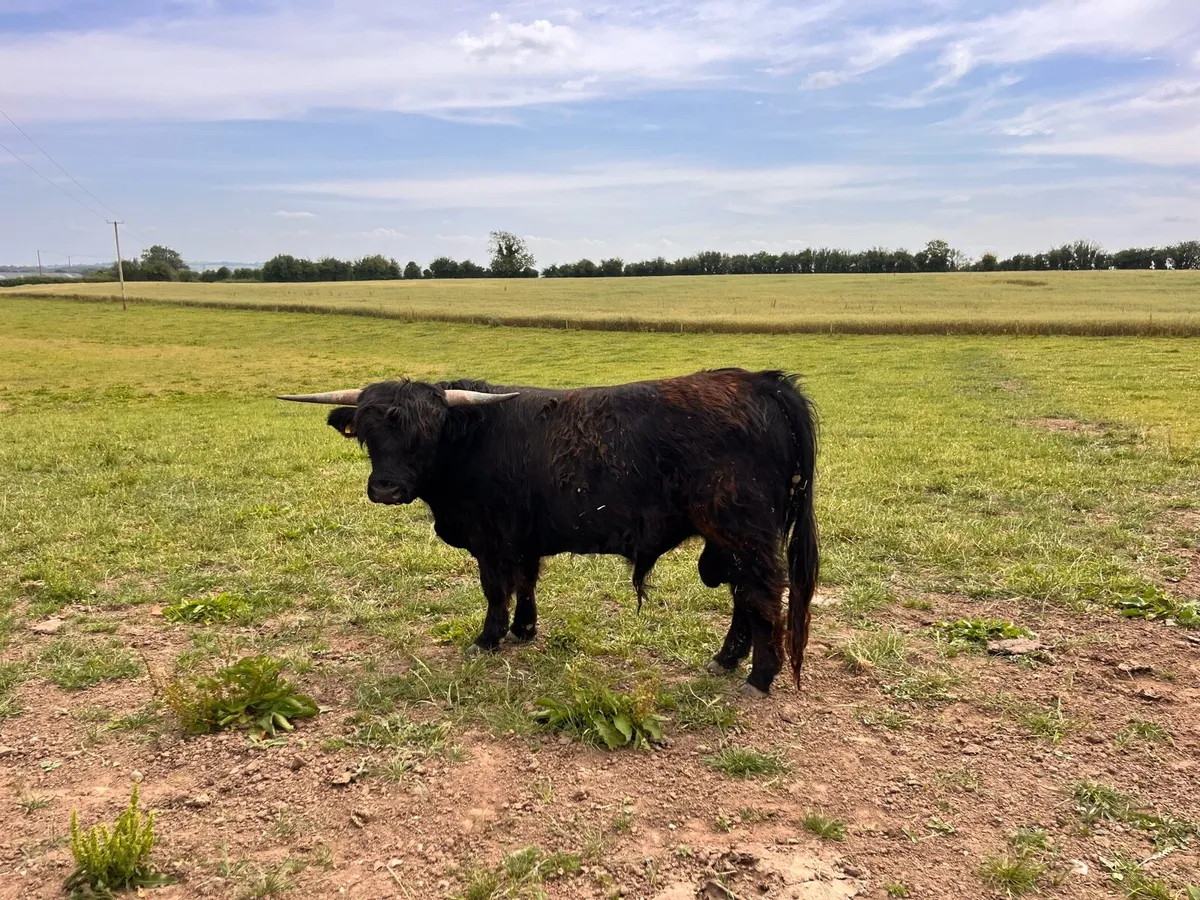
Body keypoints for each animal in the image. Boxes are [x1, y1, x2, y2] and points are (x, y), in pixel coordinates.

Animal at [278, 368, 818, 696]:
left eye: (424, 432)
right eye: (368, 434)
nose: (386, 489)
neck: (470, 438)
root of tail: (761, 382)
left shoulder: (491, 539)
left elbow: (496, 589)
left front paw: (488, 639)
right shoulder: (523, 538)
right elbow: (526, 583)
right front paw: (524, 630)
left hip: (745, 533)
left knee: (763, 595)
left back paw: (758, 677)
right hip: (731, 541)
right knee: (744, 597)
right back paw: (726, 660)